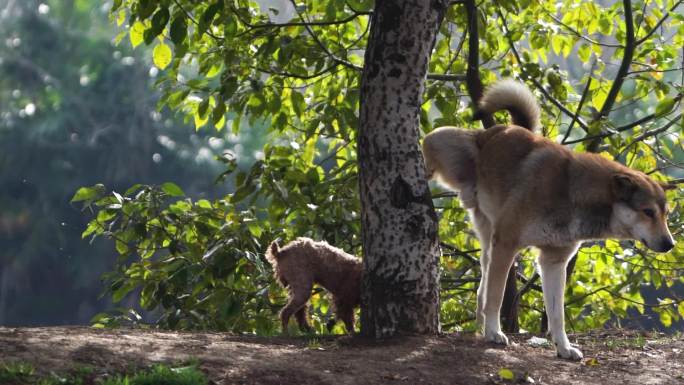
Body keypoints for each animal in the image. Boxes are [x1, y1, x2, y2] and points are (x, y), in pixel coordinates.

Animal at [420, 79, 676, 358]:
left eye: (665, 214)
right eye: (648, 212)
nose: (670, 244)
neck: (571, 192)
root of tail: (499, 131)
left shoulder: (554, 261)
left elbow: (556, 314)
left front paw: (563, 348)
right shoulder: (507, 244)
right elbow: (497, 297)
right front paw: (494, 333)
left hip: (488, 241)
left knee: (481, 290)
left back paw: (479, 326)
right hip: (442, 143)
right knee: (425, 144)